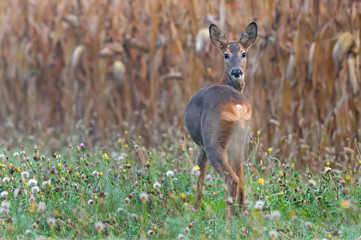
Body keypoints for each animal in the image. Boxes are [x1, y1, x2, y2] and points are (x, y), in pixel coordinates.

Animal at [186, 22, 256, 217]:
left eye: (244, 53)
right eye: (226, 54)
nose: (237, 72)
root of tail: (237, 106)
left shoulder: (201, 146)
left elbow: (200, 179)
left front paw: (194, 210)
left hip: (213, 141)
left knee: (231, 178)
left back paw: (228, 218)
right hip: (240, 140)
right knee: (241, 176)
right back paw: (242, 212)